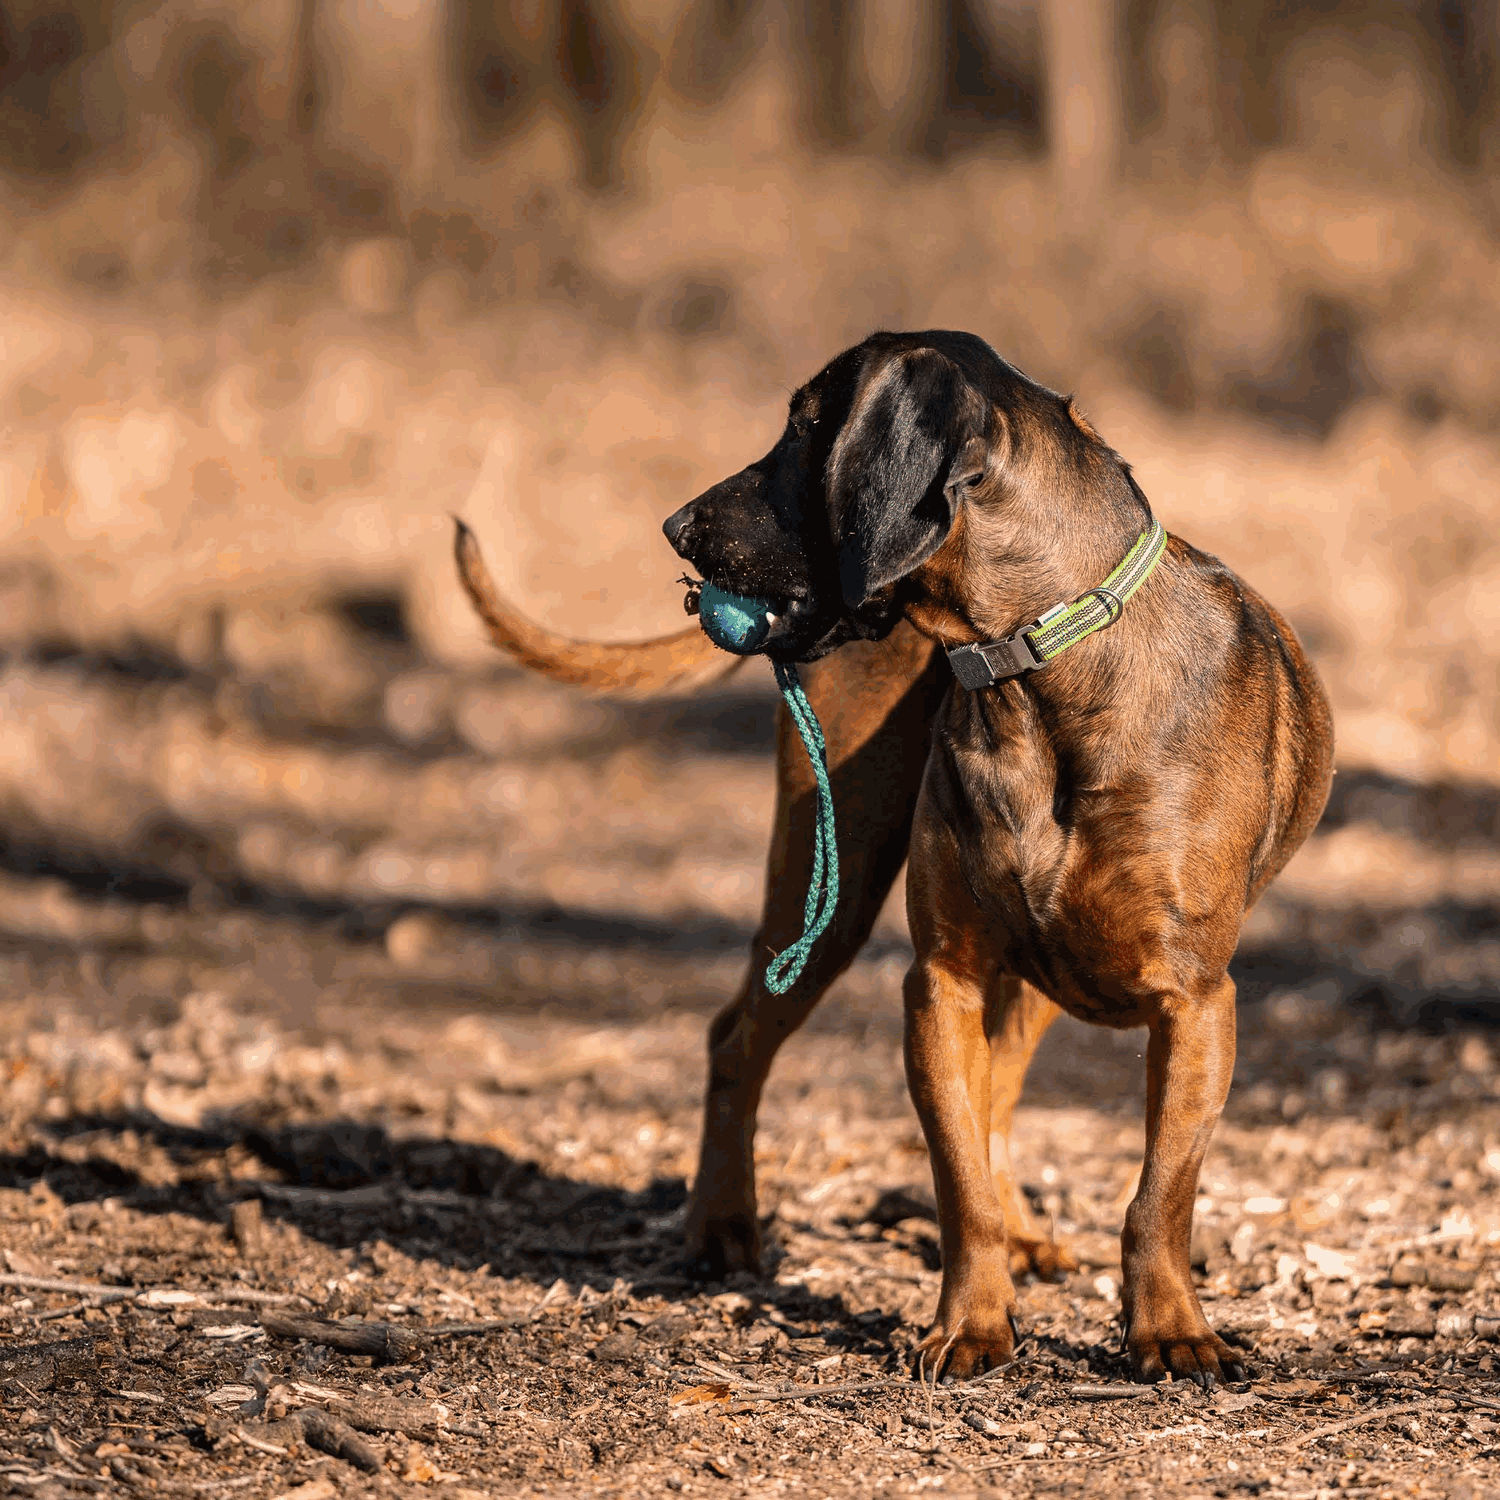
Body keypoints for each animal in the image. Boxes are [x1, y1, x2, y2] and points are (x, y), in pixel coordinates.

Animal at [456, 328, 1338, 1380]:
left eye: (809, 424)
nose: (675, 526)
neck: (1036, 669)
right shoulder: (941, 983)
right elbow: (958, 1177)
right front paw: (972, 1327)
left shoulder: (1196, 1002)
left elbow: (1158, 1190)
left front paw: (1170, 1332)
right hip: (826, 895)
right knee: (738, 1038)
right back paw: (721, 1228)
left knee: (1000, 1085)